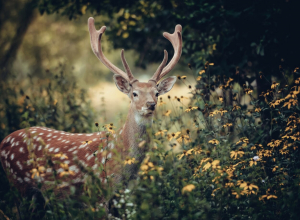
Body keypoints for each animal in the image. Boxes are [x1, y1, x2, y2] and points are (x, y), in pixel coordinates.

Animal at [0, 17, 183, 218]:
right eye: (134, 93)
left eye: (157, 93)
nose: (150, 104)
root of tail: (3, 141)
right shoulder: (97, 193)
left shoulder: (123, 197)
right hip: (18, 184)